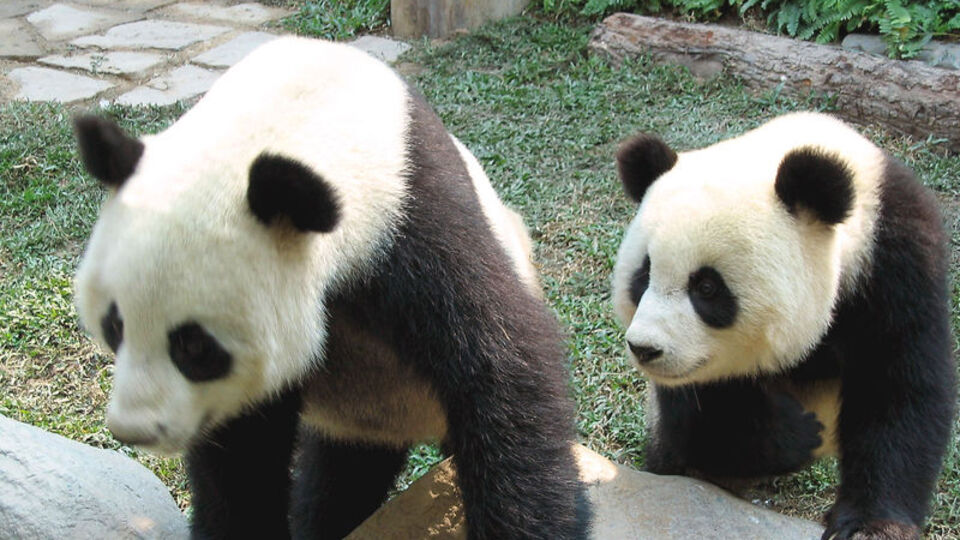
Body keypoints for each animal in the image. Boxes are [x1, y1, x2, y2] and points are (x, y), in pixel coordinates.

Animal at [72, 37, 589, 540]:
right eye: (114, 327)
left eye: (195, 347)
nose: (134, 430)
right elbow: (243, 455)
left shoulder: (413, 222)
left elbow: (501, 367)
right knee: (339, 482)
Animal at [610, 112, 955, 540]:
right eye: (643, 276)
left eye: (706, 287)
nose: (645, 348)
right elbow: (707, 414)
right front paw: (800, 433)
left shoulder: (896, 260)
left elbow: (897, 386)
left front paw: (871, 526)